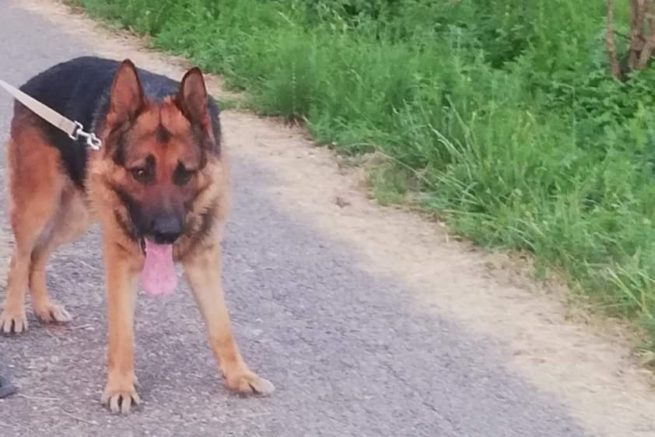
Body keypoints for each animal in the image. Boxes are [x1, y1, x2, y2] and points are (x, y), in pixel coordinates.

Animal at [0, 56, 274, 413]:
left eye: (185, 173)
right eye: (140, 172)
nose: (167, 233)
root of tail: (37, 80)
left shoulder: (204, 261)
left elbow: (221, 325)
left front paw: (239, 375)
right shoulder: (120, 260)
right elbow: (122, 332)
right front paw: (120, 386)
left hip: (78, 217)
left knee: (39, 254)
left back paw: (44, 306)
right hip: (39, 205)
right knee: (21, 254)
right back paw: (13, 312)